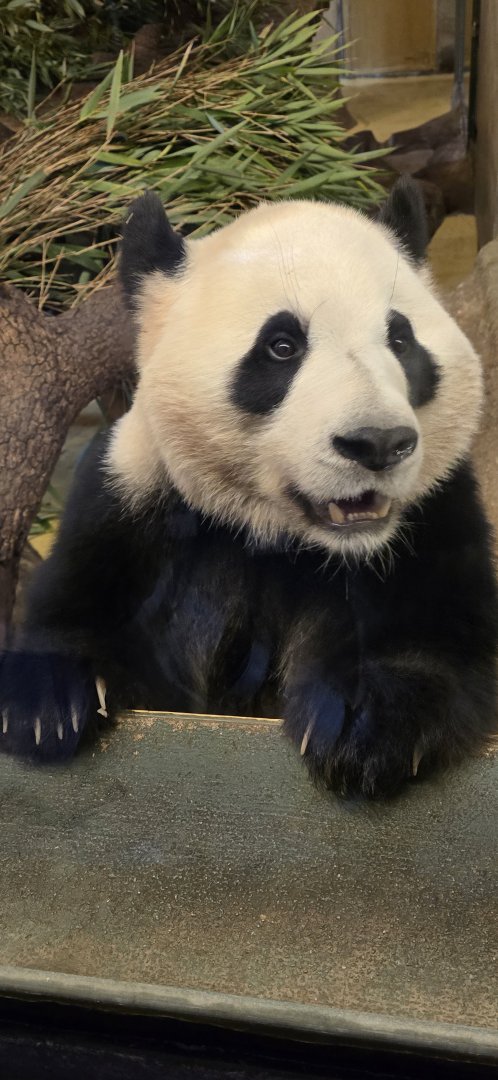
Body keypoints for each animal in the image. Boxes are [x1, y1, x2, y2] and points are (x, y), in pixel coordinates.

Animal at [1, 177, 497, 798]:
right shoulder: (139, 502)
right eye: (282, 346)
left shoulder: (432, 514)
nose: (378, 443)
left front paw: (363, 722)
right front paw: (48, 705)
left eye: (401, 340)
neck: (287, 536)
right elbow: (86, 601)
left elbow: (436, 638)